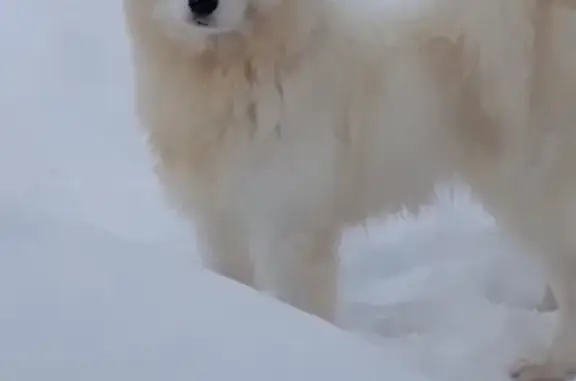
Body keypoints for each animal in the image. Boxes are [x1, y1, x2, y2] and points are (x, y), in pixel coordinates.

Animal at [124, 0, 576, 378]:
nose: (202, 5)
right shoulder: (219, 219)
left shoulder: (289, 227)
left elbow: (297, 305)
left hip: (531, 182)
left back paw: (548, 364)